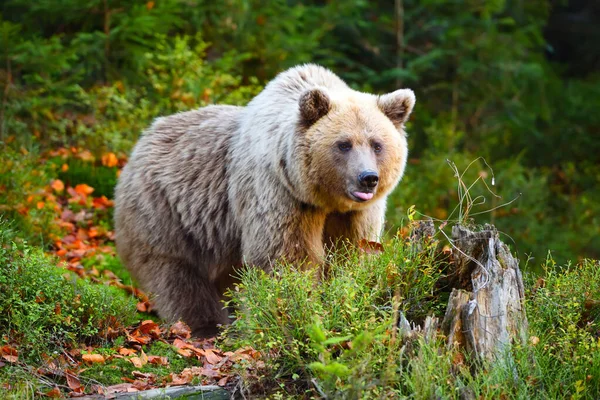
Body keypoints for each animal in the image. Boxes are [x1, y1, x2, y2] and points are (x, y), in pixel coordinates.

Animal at [116, 64, 418, 336]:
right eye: (343, 144)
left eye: (377, 144)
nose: (368, 178)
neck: (322, 197)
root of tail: (140, 142)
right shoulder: (280, 194)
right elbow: (288, 258)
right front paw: (296, 311)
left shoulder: (355, 214)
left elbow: (352, 253)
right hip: (165, 211)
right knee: (176, 273)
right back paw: (206, 326)